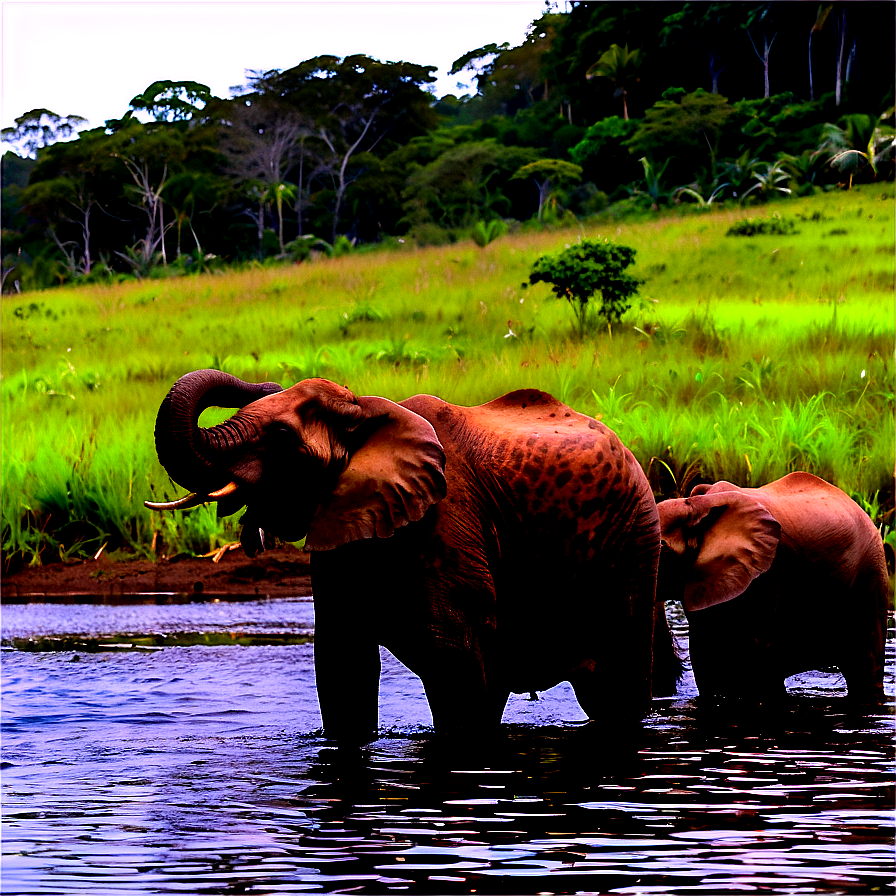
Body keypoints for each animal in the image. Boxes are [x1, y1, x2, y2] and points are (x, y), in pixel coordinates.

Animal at [150, 372, 676, 744]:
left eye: (280, 436)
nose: (268, 382)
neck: (366, 410)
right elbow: (343, 662)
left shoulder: (448, 520)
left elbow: (454, 656)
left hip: (634, 538)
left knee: (616, 685)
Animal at [656, 472, 888, 704]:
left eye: (662, 547)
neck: (696, 506)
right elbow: (704, 655)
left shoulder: (764, 576)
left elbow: (757, 656)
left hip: (870, 573)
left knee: (863, 667)